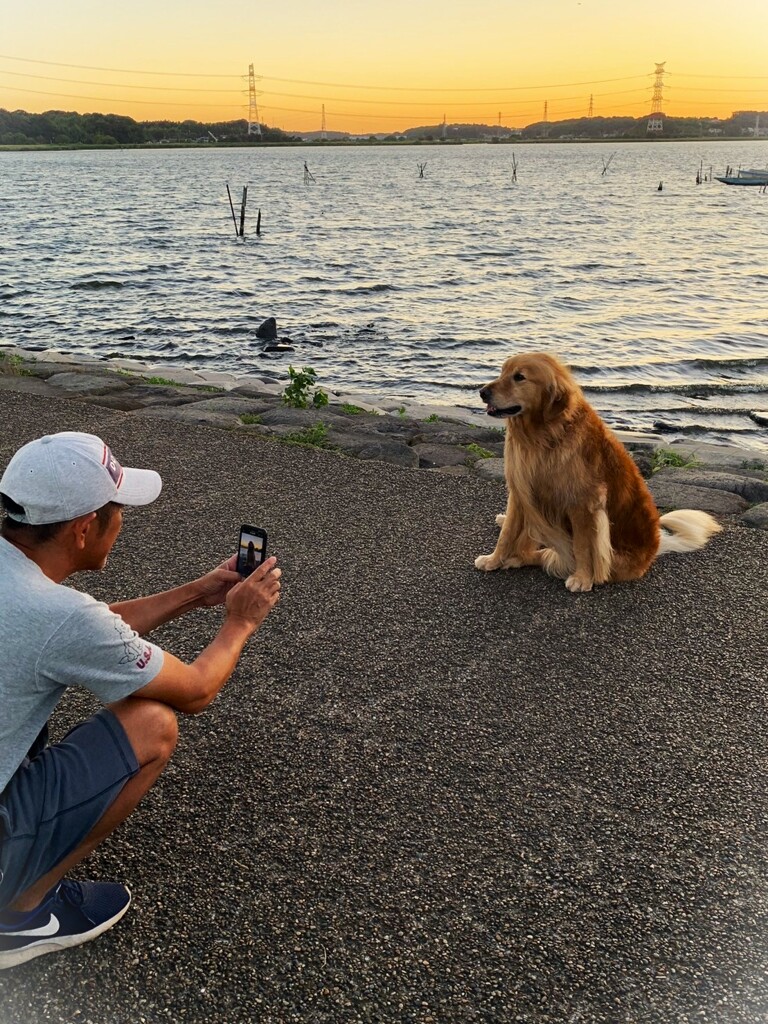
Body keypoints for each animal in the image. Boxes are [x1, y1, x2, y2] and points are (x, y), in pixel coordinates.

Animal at [475, 352, 720, 593]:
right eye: (502, 372)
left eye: (519, 377)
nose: (482, 392)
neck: (544, 435)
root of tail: (655, 546)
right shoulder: (521, 489)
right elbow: (507, 534)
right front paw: (493, 559)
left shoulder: (582, 503)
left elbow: (581, 546)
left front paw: (582, 578)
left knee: (548, 555)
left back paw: (518, 558)